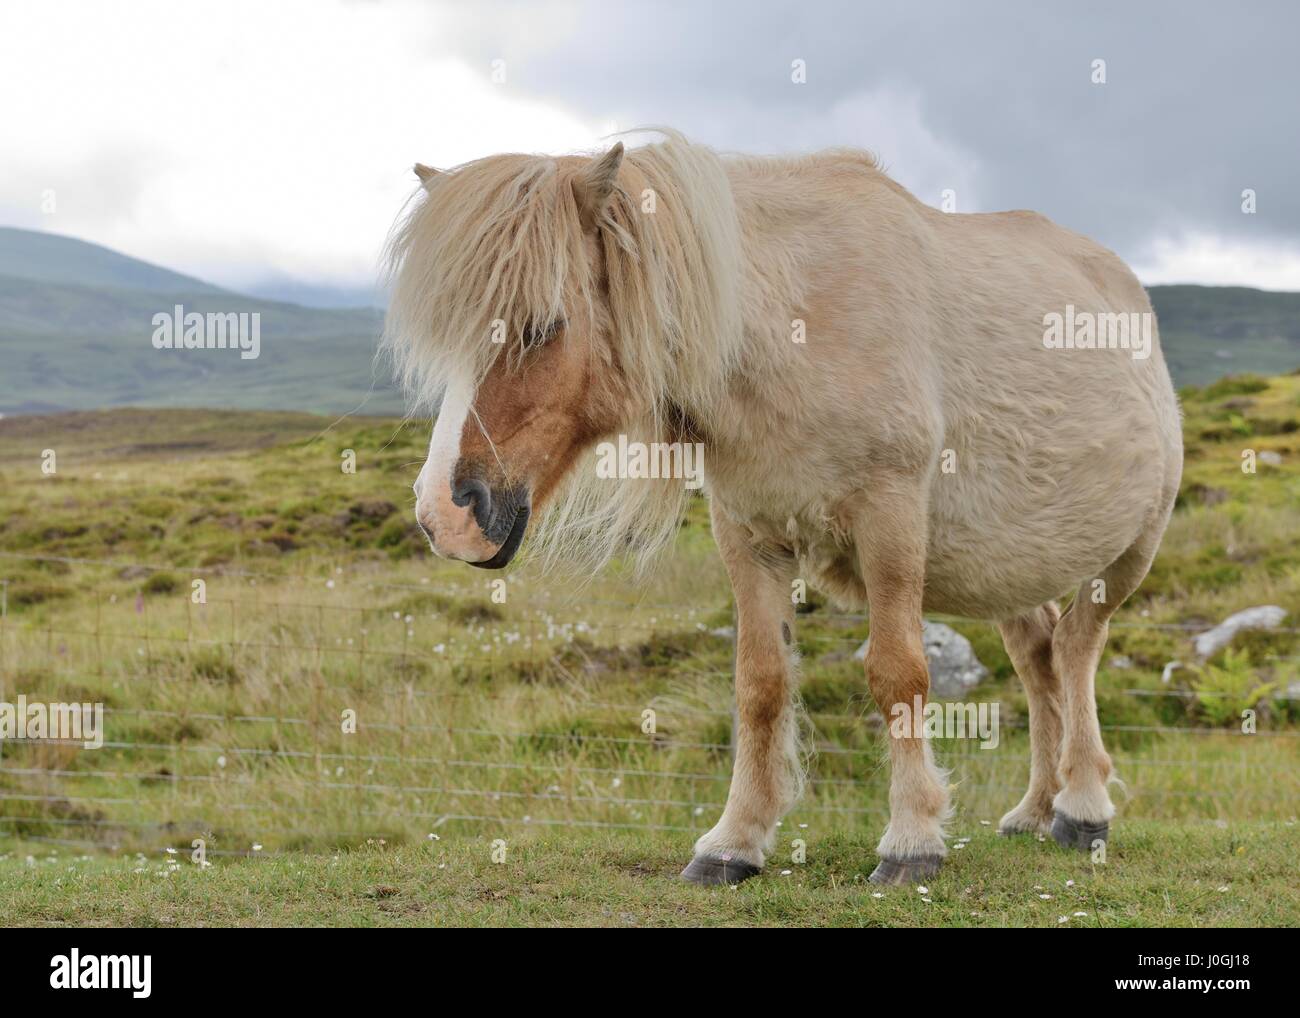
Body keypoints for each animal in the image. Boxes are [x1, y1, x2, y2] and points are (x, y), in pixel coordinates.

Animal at [379, 133, 1185, 884]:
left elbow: (898, 674)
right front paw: (734, 842)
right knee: (1039, 655)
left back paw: (1082, 807)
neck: (794, 323)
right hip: (1009, 571)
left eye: (543, 326)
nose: (444, 513)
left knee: (1077, 648)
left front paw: (912, 840)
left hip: (1130, 552)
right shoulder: (748, 534)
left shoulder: (891, 519)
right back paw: (1037, 808)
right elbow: (760, 685)